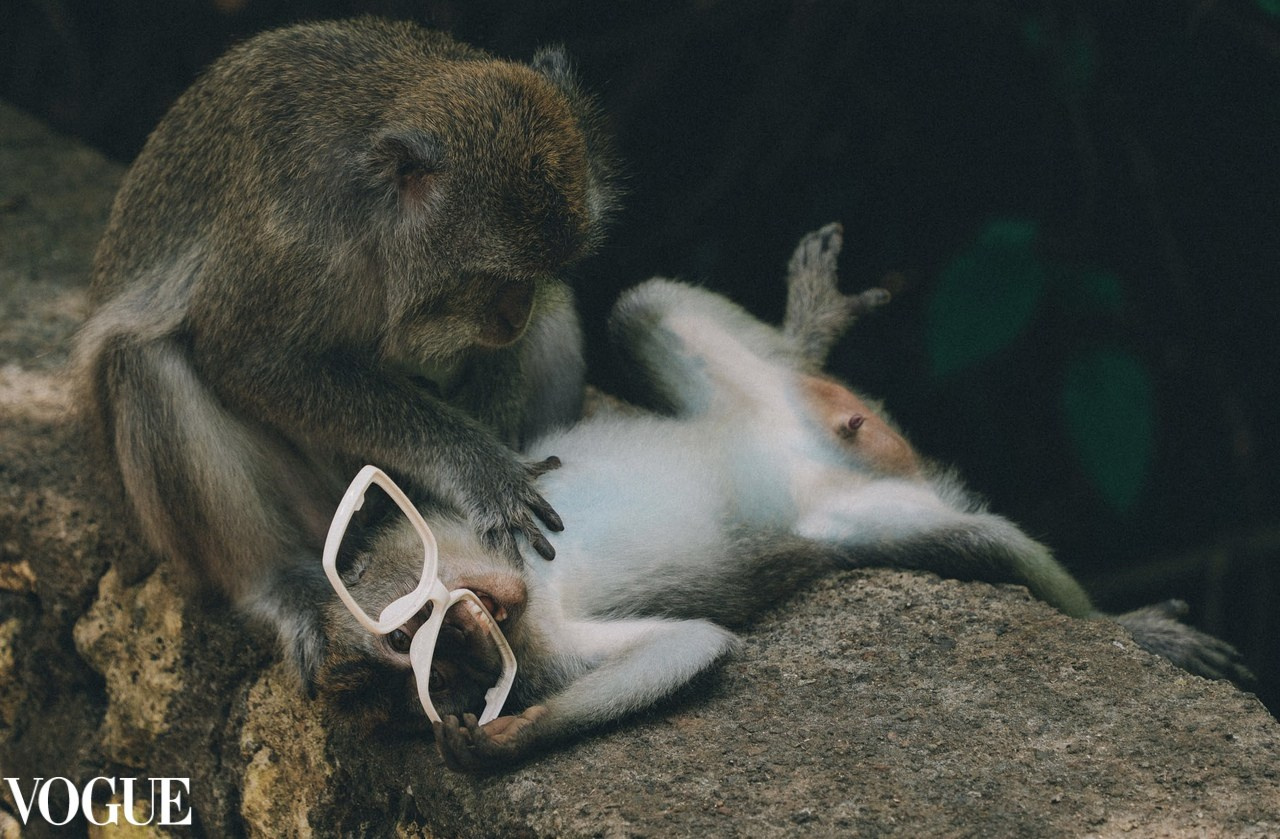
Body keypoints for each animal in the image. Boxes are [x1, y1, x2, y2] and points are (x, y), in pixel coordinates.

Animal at [71, 17, 618, 691]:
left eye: (534, 273)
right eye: (492, 278)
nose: (513, 315)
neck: (378, 217)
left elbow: (532, 325)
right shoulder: (293, 235)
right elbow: (247, 359)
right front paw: (478, 468)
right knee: (146, 366)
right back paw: (283, 584)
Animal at [317, 224, 1251, 770]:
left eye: (421, 616)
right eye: (431, 657)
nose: (472, 623)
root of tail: (824, 451)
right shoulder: (541, 642)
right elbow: (689, 643)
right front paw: (499, 736)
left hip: (765, 401)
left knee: (640, 306)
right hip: (859, 516)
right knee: (974, 540)